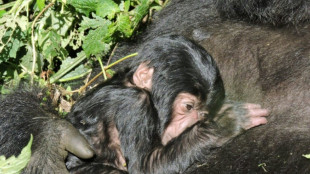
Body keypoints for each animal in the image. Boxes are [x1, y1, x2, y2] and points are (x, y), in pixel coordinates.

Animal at [66, 35, 268, 174]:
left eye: (203, 114)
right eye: (188, 107)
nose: (189, 125)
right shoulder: (134, 103)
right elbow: (145, 166)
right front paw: (225, 123)